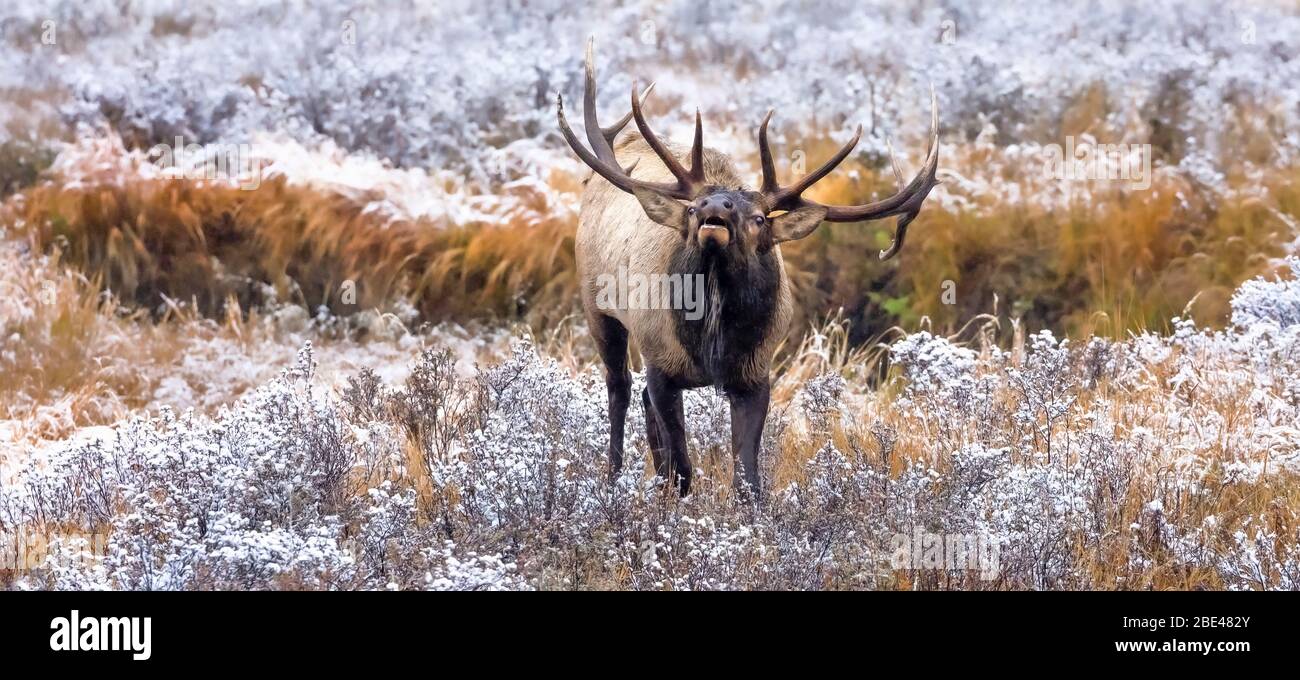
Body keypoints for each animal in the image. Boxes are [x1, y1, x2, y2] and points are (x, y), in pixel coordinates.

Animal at [553, 41, 941, 499]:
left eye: (758, 218)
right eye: (691, 208)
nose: (713, 207)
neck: (713, 339)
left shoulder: (756, 373)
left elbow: (748, 479)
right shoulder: (661, 360)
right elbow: (684, 468)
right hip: (598, 307)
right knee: (620, 389)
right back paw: (613, 480)